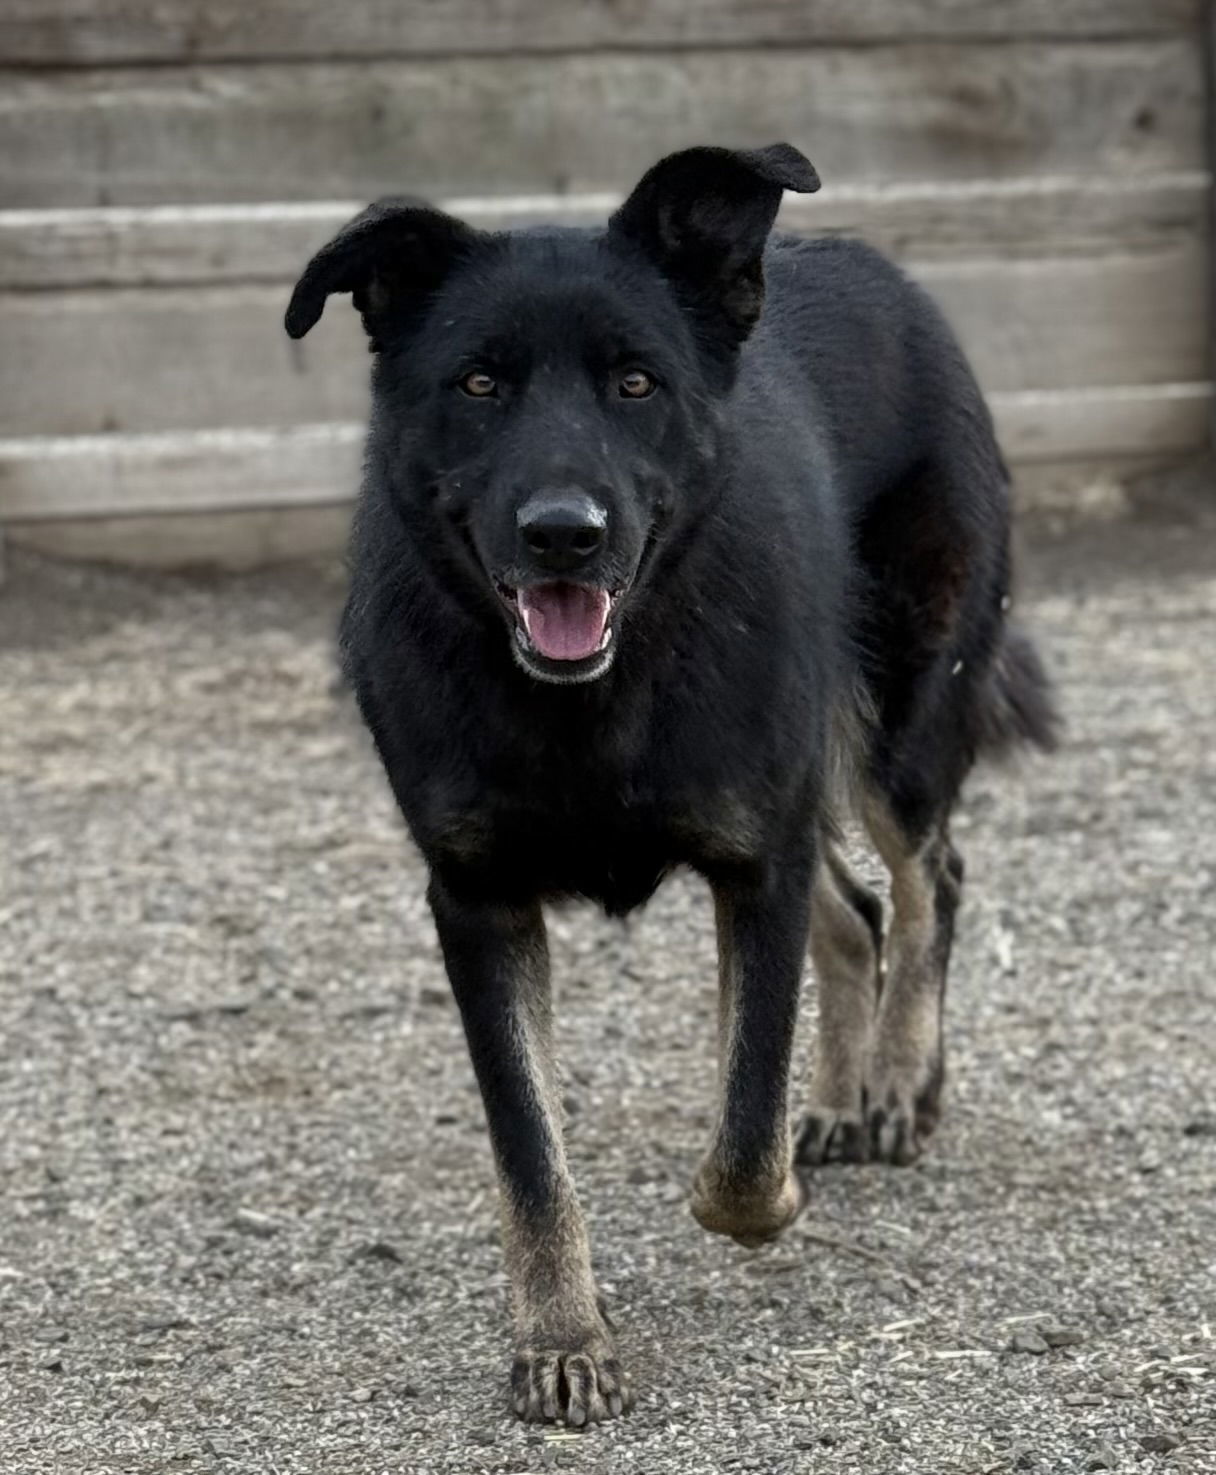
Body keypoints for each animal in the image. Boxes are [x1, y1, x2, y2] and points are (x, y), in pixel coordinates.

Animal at [284, 143, 1056, 1421]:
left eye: (636, 383)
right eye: (477, 383)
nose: (563, 533)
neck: (586, 697)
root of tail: (871, 266)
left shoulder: (754, 860)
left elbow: (742, 1129)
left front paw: (767, 1195)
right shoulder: (478, 902)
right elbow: (531, 1151)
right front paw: (562, 1338)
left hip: (893, 723)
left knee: (926, 872)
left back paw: (899, 1083)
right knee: (855, 909)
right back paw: (842, 1097)